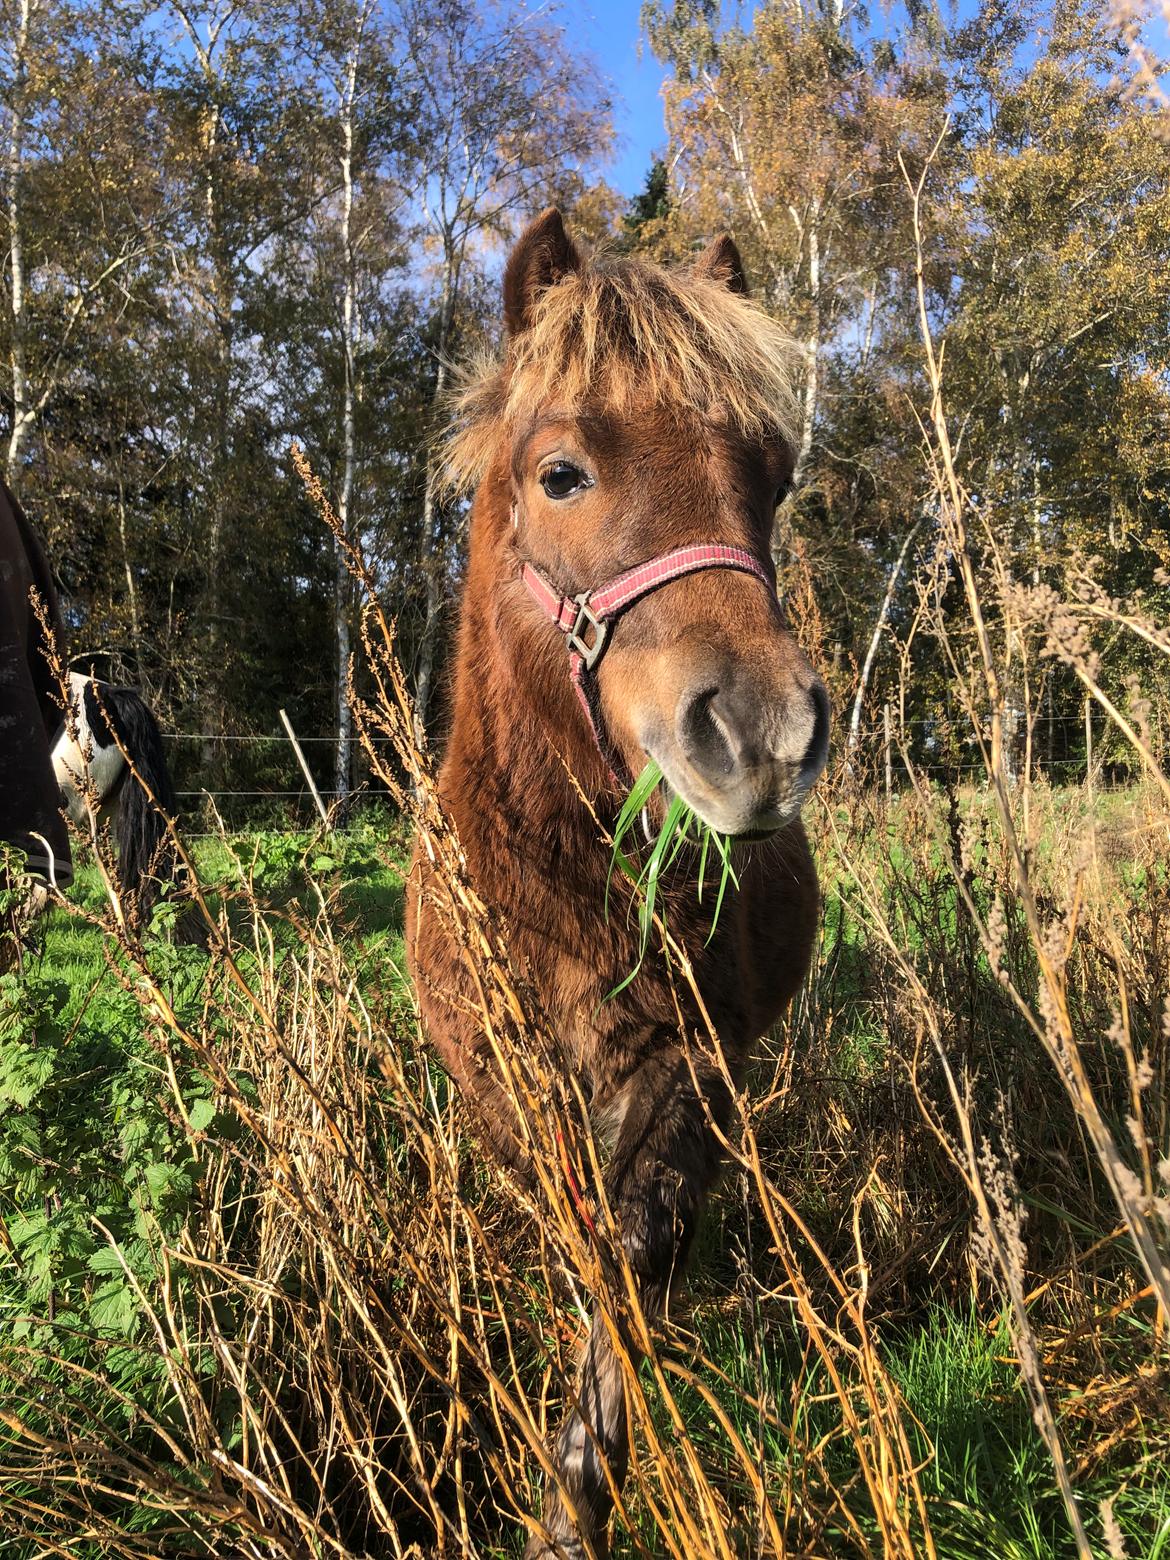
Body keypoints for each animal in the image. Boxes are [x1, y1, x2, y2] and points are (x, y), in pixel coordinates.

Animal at [408, 210, 829, 1560]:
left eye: (773, 475)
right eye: (561, 474)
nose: (764, 734)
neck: (556, 878)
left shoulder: (690, 1061)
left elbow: (636, 1248)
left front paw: (580, 1491)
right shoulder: (504, 1082)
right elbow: (575, 1229)